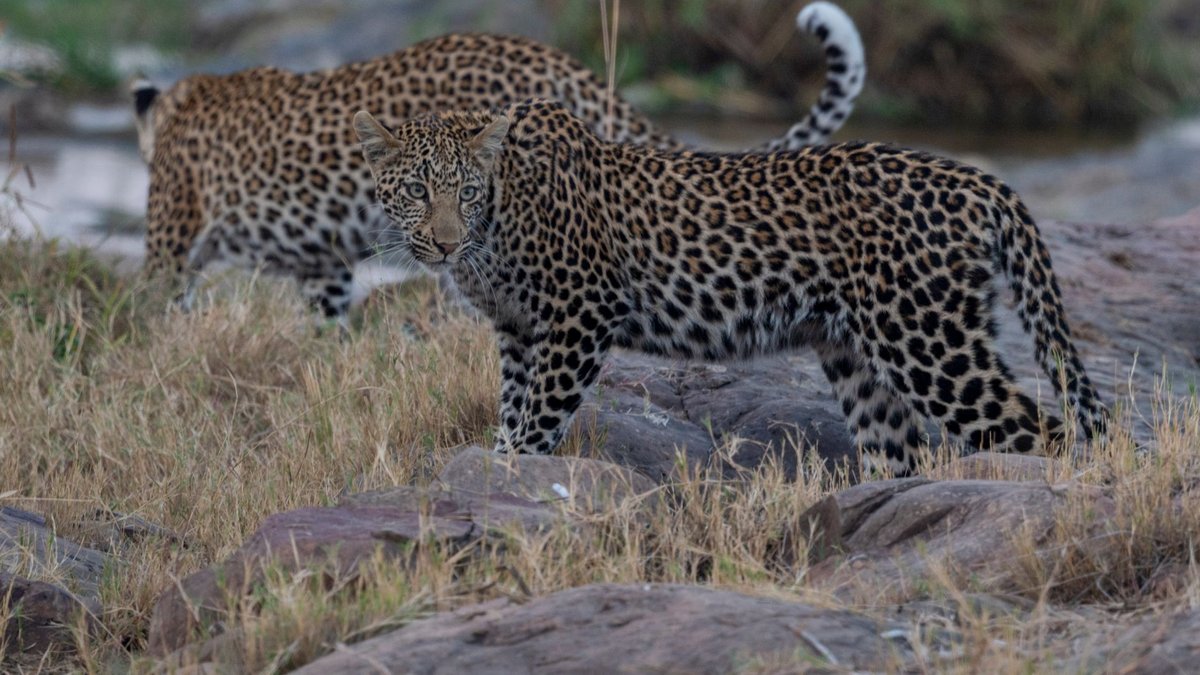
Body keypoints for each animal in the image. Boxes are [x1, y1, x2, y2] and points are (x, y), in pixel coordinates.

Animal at [353, 98, 1108, 475]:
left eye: (466, 192)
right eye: (417, 191)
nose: (443, 243)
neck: (499, 218)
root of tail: (977, 179)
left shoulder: (579, 314)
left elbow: (540, 414)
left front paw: (515, 469)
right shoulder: (518, 328)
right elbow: (514, 404)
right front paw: (498, 460)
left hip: (928, 343)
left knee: (1046, 432)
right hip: (861, 359)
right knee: (902, 451)